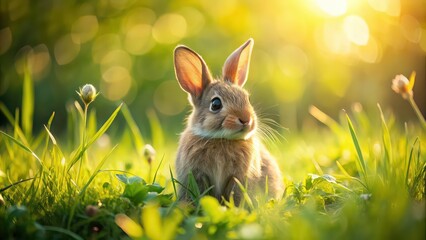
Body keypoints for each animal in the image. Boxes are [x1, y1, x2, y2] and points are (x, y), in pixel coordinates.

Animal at [173, 39, 282, 204]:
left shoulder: (238, 178)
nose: (246, 119)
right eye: (215, 104)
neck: (221, 139)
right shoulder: (198, 175)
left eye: (247, 98)